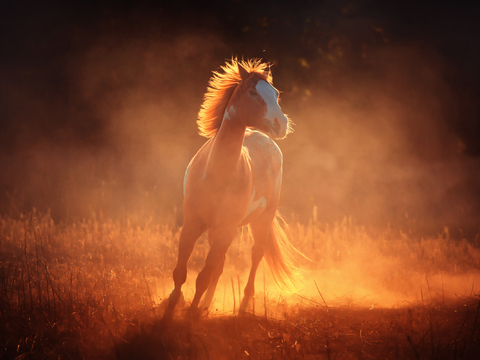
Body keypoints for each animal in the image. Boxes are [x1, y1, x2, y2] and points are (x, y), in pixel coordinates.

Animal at [165, 59, 300, 320]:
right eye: (252, 92)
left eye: (275, 93)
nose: (282, 124)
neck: (217, 174)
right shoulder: (192, 224)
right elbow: (181, 271)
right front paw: (172, 306)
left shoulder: (226, 229)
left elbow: (203, 276)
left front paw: (191, 314)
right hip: (218, 231)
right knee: (220, 265)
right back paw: (207, 305)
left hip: (260, 221)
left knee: (255, 256)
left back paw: (244, 304)